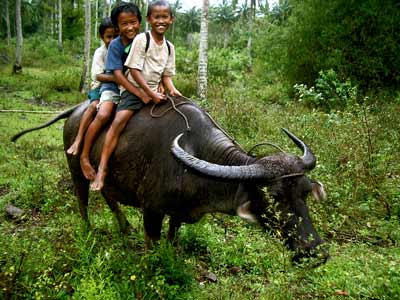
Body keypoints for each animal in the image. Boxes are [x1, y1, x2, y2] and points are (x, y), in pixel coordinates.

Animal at [14, 96, 330, 262]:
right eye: (275, 196)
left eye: (305, 192)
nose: (314, 252)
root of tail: (78, 110)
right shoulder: (152, 212)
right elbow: (152, 244)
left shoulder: (178, 213)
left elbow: (173, 235)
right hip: (74, 167)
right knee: (82, 199)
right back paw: (88, 231)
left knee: (106, 193)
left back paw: (123, 226)